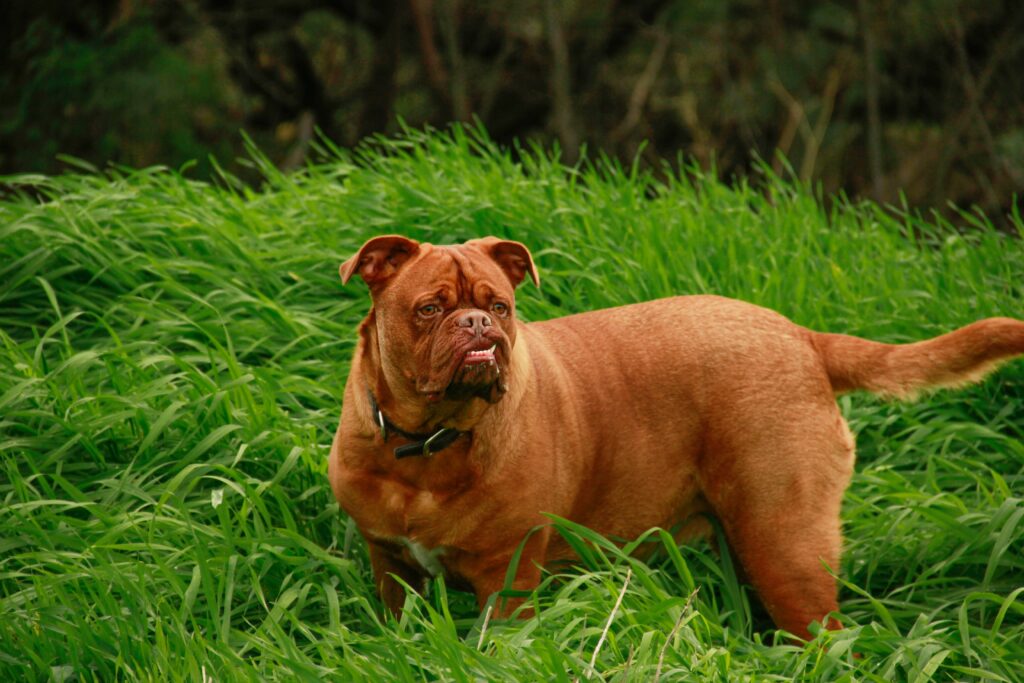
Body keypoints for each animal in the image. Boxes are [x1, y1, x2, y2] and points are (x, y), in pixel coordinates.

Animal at [329, 235, 1024, 643]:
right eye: (428, 308)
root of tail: (803, 338)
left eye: (500, 305)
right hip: (751, 543)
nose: (478, 324)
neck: (426, 446)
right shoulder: (390, 567)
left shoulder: (508, 577)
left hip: (785, 542)